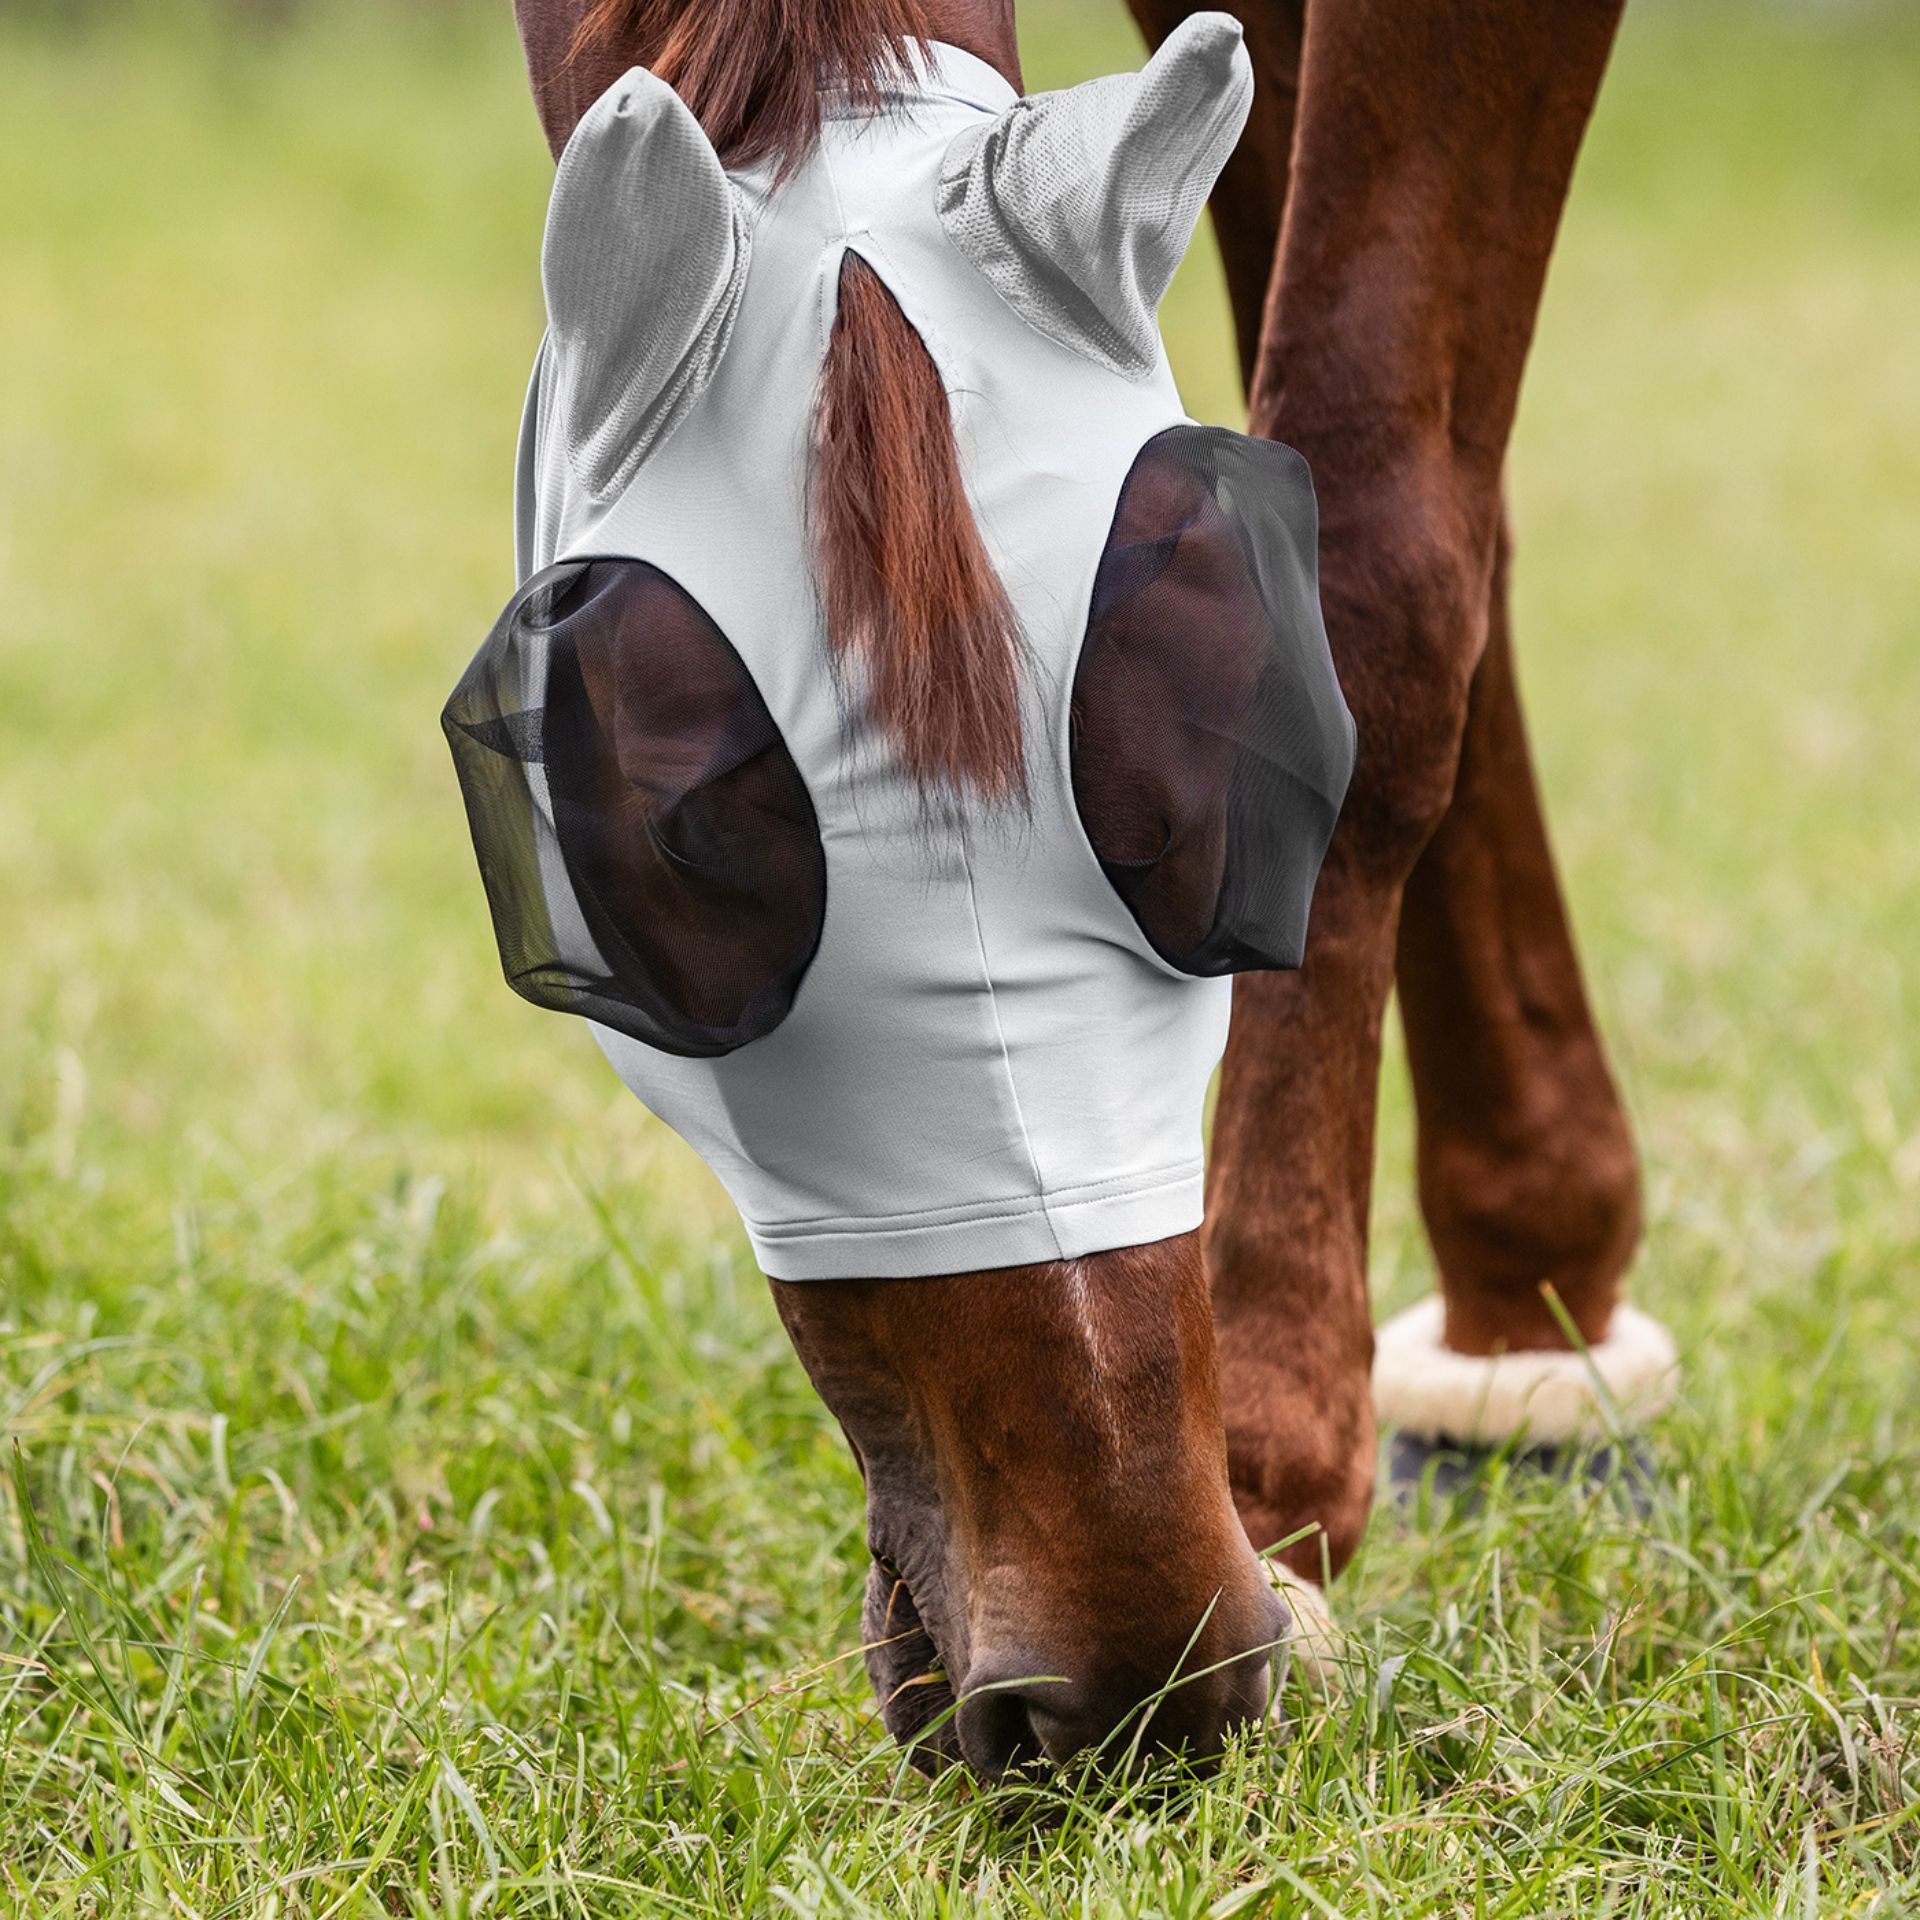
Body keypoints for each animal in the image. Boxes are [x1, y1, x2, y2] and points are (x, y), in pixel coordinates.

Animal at [495, 0, 1670, 1778]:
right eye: (683, 842)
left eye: (1229, 749)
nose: (1136, 1674)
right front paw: (1518, 1283)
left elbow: (1388, 544)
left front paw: (1285, 1451)